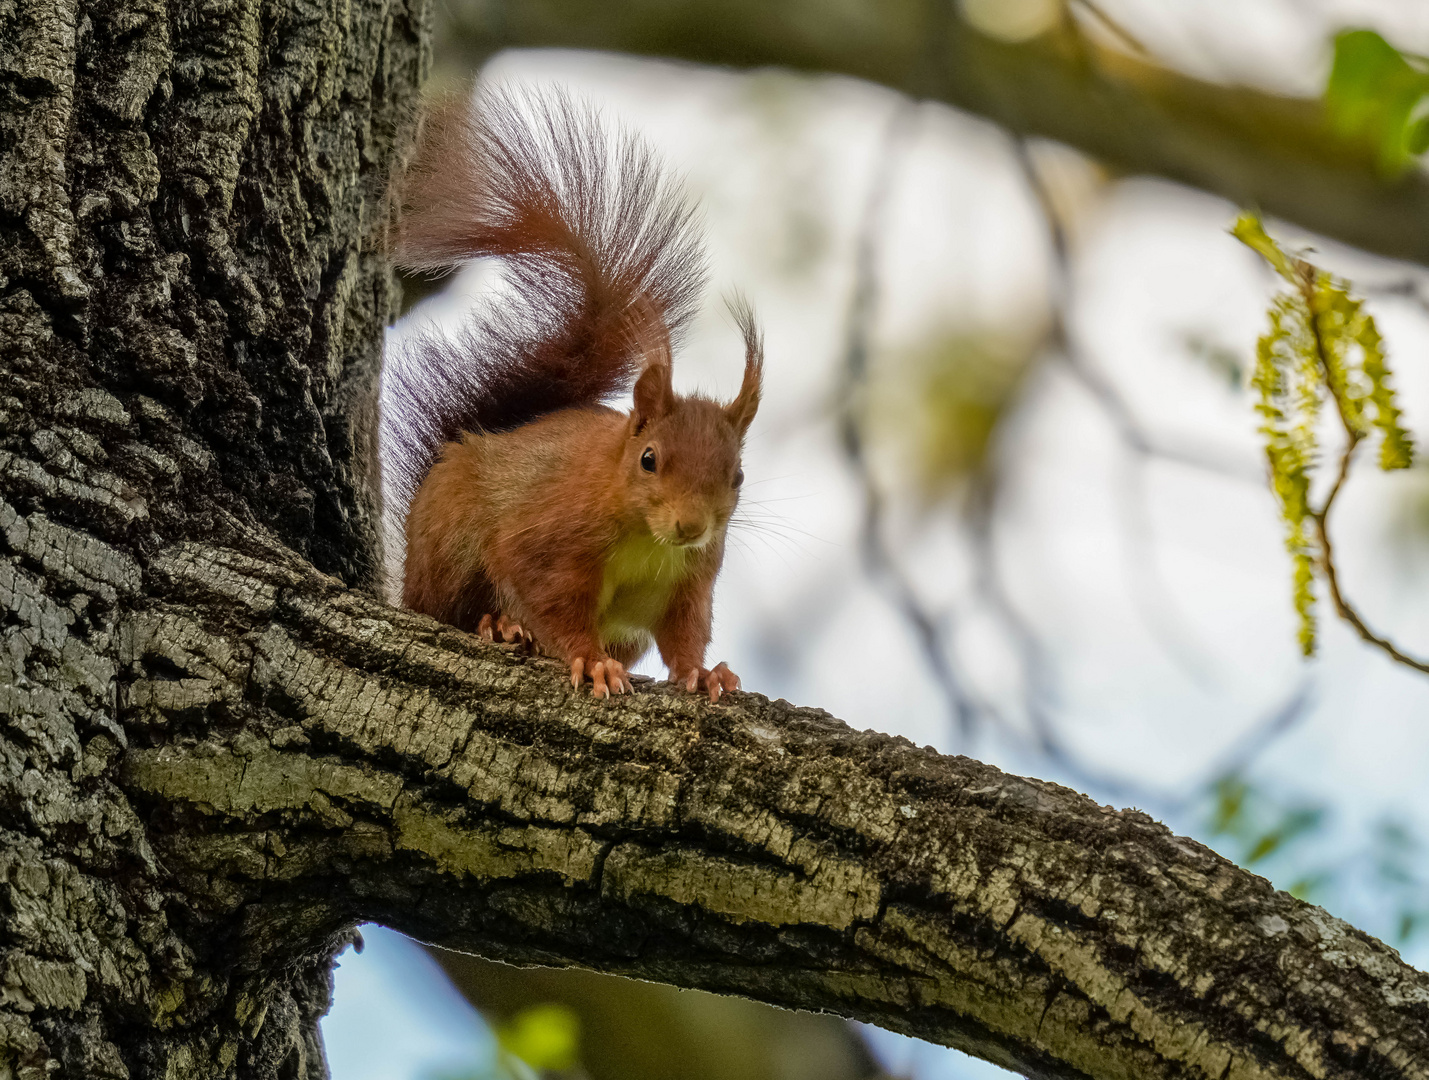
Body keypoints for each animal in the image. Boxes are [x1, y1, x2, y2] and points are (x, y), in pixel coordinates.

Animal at [380, 90, 760, 700]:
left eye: (739, 475)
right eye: (648, 459)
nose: (692, 527)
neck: (648, 539)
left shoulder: (690, 582)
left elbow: (685, 633)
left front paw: (701, 672)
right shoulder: (550, 540)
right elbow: (550, 601)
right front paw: (591, 661)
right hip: (449, 546)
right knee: (449, 610)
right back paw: (499, 625)